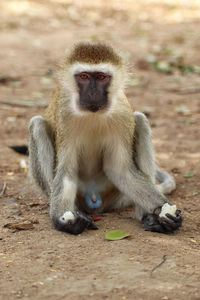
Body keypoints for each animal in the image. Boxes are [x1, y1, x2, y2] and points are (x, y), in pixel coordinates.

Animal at [28, 42, 183, 234]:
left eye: (102, 77)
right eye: (84, 76)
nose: (93, 93)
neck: (93, 114)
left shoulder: (122, 113)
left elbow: (120, 170)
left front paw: (163, 209)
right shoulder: (65, 115)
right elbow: (66, 172)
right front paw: (63, 219)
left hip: (112, 192)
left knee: (140, 120)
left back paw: (148, 217)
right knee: (38, 125)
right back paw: (75, 212)